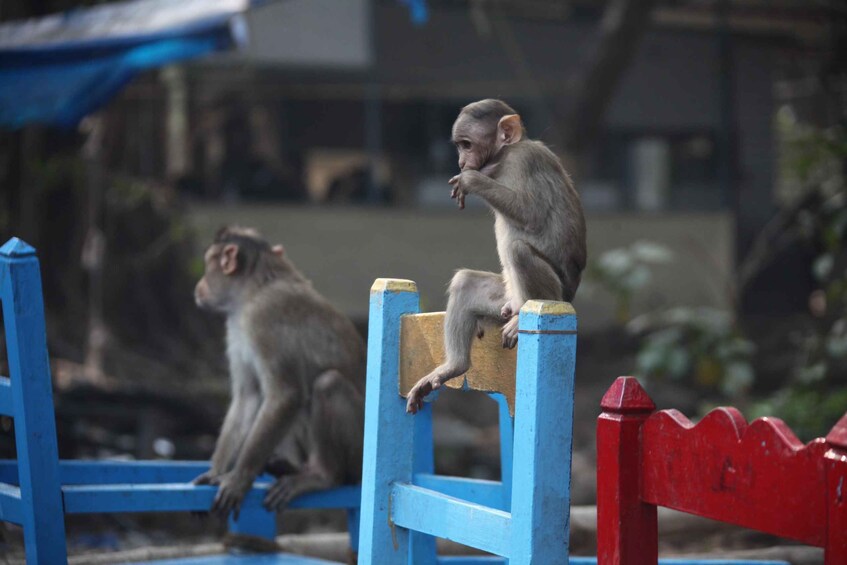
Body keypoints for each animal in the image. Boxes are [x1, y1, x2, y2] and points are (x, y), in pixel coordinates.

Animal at [194, 227, 366, 516]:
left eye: (208, 265)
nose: (199, 285)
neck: (257, 285)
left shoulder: (263, 318)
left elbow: (286, 395)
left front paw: (238, 478)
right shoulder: (238, 327)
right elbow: (248, 397)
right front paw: (216, 471)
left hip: (359, 454)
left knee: (328, 384)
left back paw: (322, 476)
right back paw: (289, 466)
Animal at [408, 98, 588, 414]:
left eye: (467, 145)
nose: (461, 162)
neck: (504, 157)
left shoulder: (525, 160)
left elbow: (532, 214)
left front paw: (471, 180)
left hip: (553, 296)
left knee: (518, 250)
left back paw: (519, 319)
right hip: (504, 297)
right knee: (466, 282)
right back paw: (455, 366)